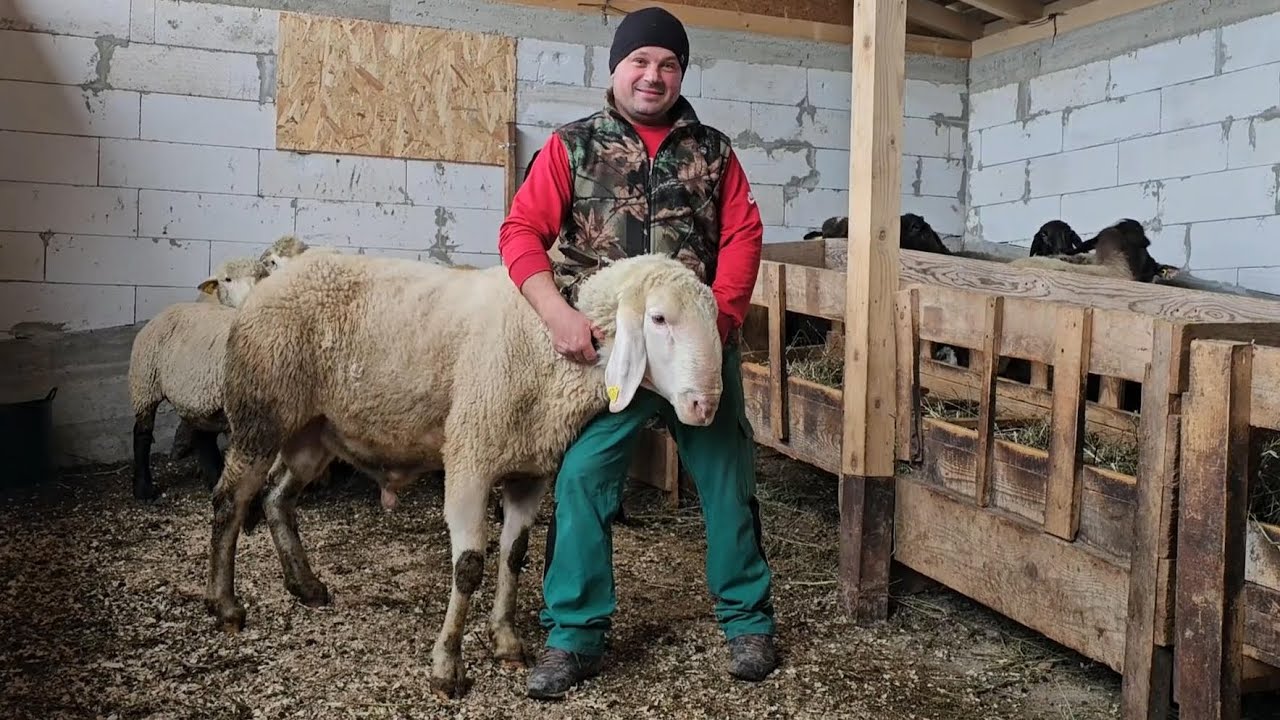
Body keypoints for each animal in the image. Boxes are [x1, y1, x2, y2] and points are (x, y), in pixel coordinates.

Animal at [129, 257, 269, 501]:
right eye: (227, 279)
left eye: (262, 276)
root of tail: (169, 309)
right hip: (145, 384)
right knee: (142, 435)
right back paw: (144, 489)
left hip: (199, 395)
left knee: (203, 435)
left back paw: (213, 478)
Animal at [203, 249, 726, 698]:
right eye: (658, 319)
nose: (705, 406)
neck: (543, 346)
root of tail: (273, 279)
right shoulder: (471, 456)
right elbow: (470, 567)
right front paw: (447, 666)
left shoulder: (528, 471)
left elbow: (514, 556)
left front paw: (507, 642)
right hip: (259, 413)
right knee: (230, 503)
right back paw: (225, 606)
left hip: (313, 431)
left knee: (276, 497)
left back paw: (304, 585)